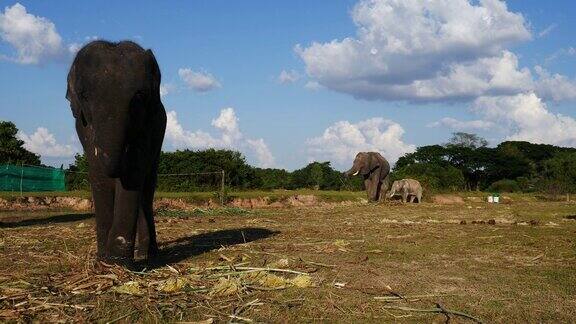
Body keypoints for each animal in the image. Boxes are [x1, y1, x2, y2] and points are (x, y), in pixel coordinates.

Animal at [68, 40, 168, 266]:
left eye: (139, 96)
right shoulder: (81, 123)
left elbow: (133, 171)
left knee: (147, 189)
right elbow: (98, 172)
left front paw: (117, 261)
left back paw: (150, 254)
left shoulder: (149, 123)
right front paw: (104, 259)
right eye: (84, 95)